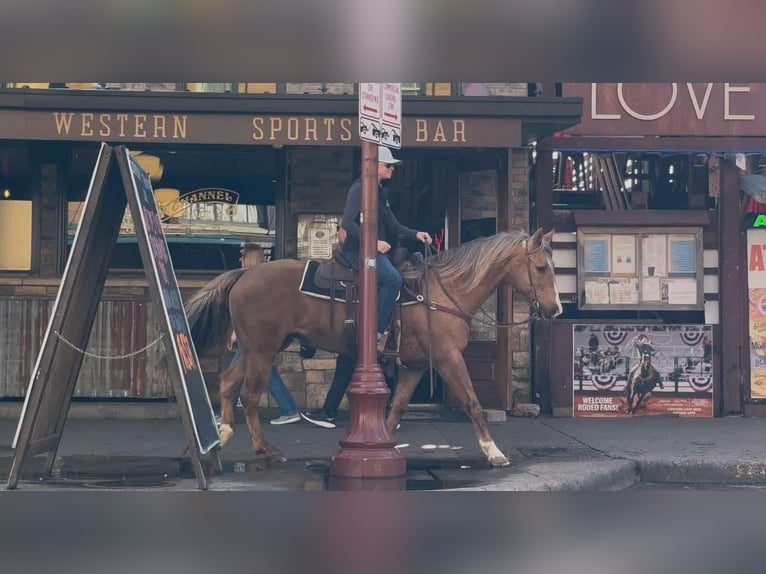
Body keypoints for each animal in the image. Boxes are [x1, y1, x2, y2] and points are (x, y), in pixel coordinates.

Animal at [183, 228, 560, 468]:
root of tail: (245, 274)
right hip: (263, 349)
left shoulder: (414, 366)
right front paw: (493, 452)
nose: (555, 309)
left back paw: (223, 434)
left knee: (228, 382)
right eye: (541, 267)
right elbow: (472, 402)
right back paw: (264, 448)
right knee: (248, 394)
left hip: (254, 348)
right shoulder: (448, 358)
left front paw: (379, 447)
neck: (443, 291)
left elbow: (396, 409)